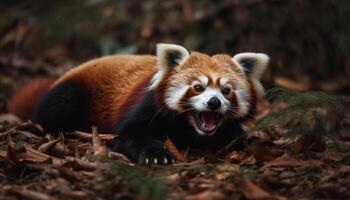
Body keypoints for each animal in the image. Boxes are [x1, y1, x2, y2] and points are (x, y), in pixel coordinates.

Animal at [8, 43, 270, 164]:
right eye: (198, 87)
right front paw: (156, 154)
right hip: (72, 94)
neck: (189, 129)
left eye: (226, 91)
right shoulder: (147, 105)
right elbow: (130, 134)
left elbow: (236, 137)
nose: (214, 103)